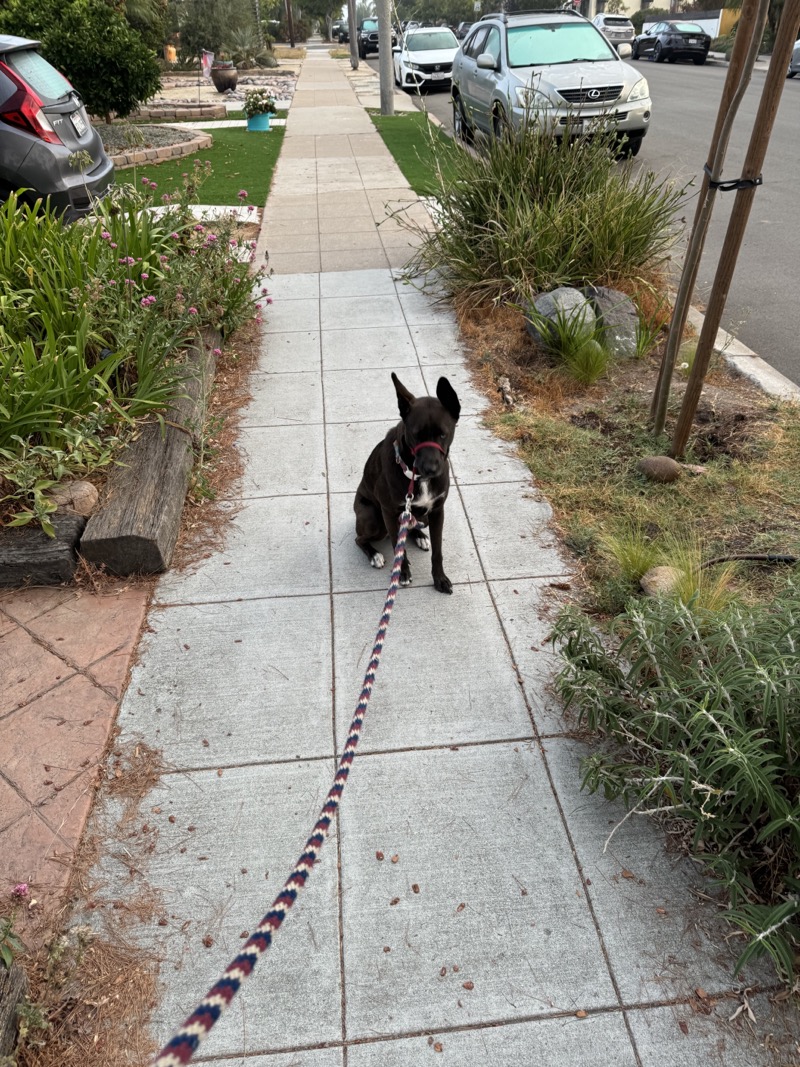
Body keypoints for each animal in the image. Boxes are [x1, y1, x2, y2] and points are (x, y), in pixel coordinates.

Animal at [354, 373, 460, 593]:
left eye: (443, 434)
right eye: (415, 434)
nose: (430, 468)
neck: (417, 477)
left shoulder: (437, 511)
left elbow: (438, 551)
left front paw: (440, 578)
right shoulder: (389, 512)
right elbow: (397, 545)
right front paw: (402, 573)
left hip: (422, 517)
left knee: (412, 525)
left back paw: (419, 535)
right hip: (374, 520)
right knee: (359, 538)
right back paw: (374, 555)